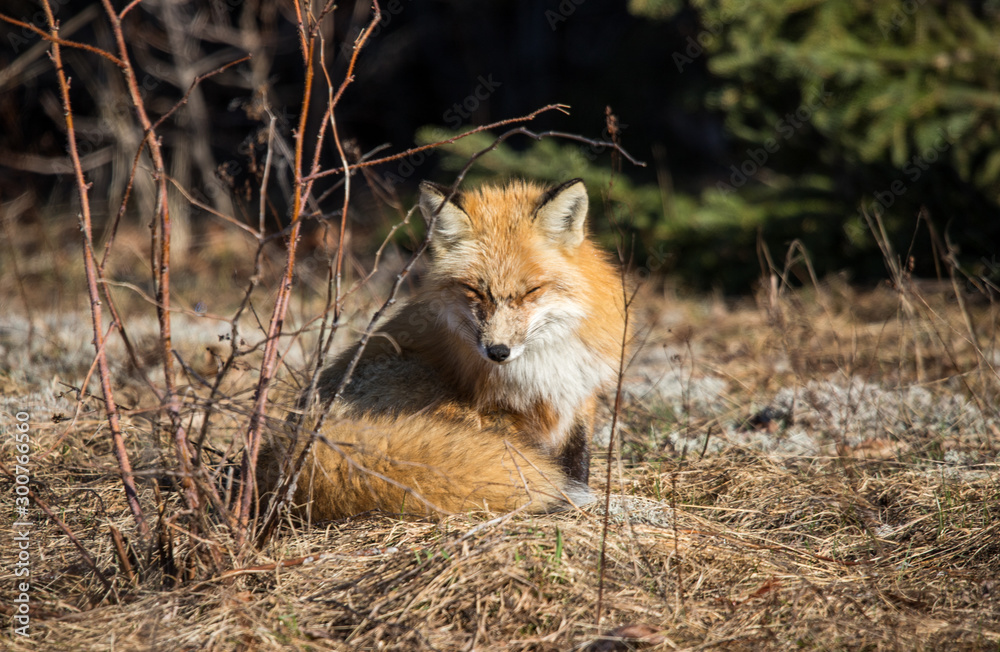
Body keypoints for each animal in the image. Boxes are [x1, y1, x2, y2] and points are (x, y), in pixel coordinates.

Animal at [259, 178, 626, 520]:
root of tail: (288, 443)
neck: (543, 360)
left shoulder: (580, 392)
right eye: (474, 291)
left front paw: (578, 488)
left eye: (531, 291)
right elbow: (522, 454)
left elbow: (579, 454)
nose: (497, 352)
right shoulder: (499, 410)